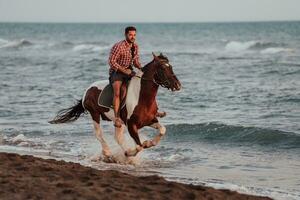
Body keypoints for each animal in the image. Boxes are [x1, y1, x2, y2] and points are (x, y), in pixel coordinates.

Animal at [49, 52, 180, 160]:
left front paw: (148, 143)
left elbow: (162, 130)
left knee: (117, 137)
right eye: (163, 68)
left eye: (171, 67)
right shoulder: (131, 125)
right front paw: (131, 152)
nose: (177, 85)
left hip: (118, 122)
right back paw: (108, 152)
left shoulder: (150, 120)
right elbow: (139, 146)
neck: (141, 98)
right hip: (95, 114)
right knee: (99, 134)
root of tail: (88, 90)